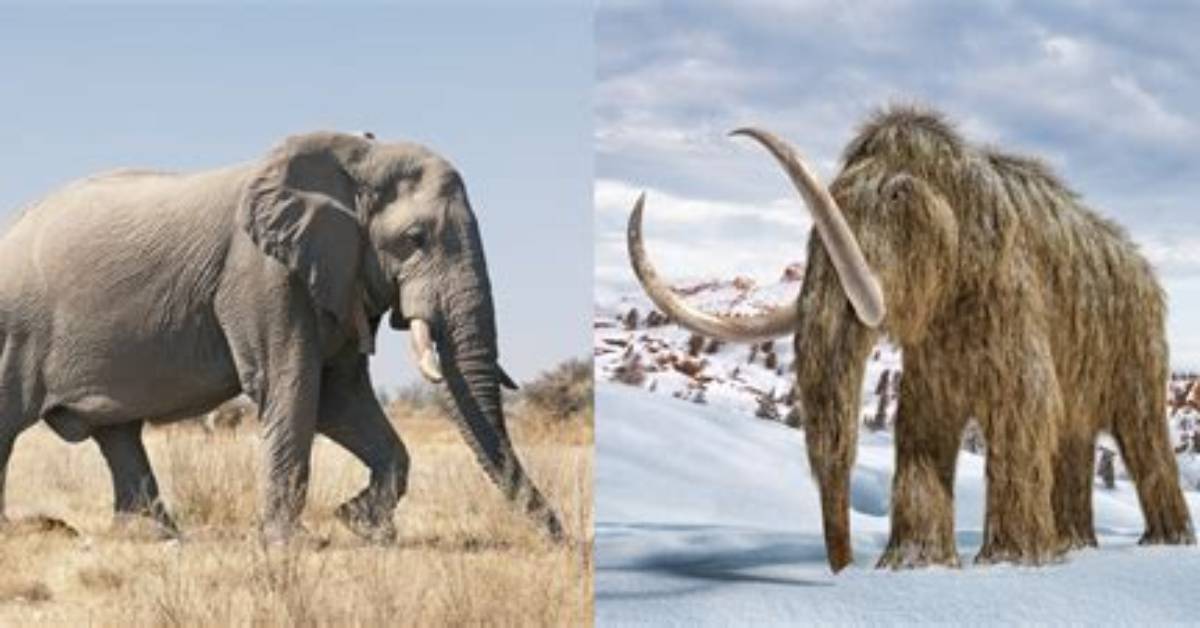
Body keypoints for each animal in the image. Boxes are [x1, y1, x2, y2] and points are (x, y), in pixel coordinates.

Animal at [0, 130, 563, 543]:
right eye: (414, 239)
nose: (561, 539)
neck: (356, 158)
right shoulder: (263, 273)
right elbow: (290, 385)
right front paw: (292, 543)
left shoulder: (338, 278)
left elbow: (340, 396)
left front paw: (359, 524)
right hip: (14, 327)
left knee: (118, 432)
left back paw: (149, 536)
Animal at [627, 105, 1194, 572]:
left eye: (898, 196)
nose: (843, 571)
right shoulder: (932, 352)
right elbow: (922, 423)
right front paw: (913, 564)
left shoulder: (1014, 301)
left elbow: (1025, 409)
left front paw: (1010, 561)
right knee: (1072, 436)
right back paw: (1075, 545)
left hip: (1137, 350)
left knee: (1143, 436)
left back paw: (1164, 543)